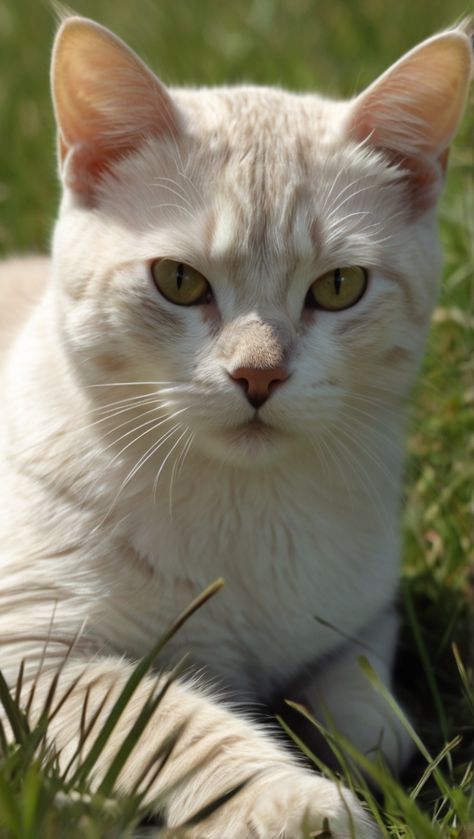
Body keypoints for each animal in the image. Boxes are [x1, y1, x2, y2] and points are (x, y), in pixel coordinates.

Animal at [0, 14, 470, 839]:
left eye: (339, 286)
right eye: (178, 280)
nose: (259, 375)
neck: (246, 512)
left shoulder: (367, 616)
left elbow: (374, 720)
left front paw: (344, 742)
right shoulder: (34, 651)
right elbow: (178, 723)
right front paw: (299, 802)